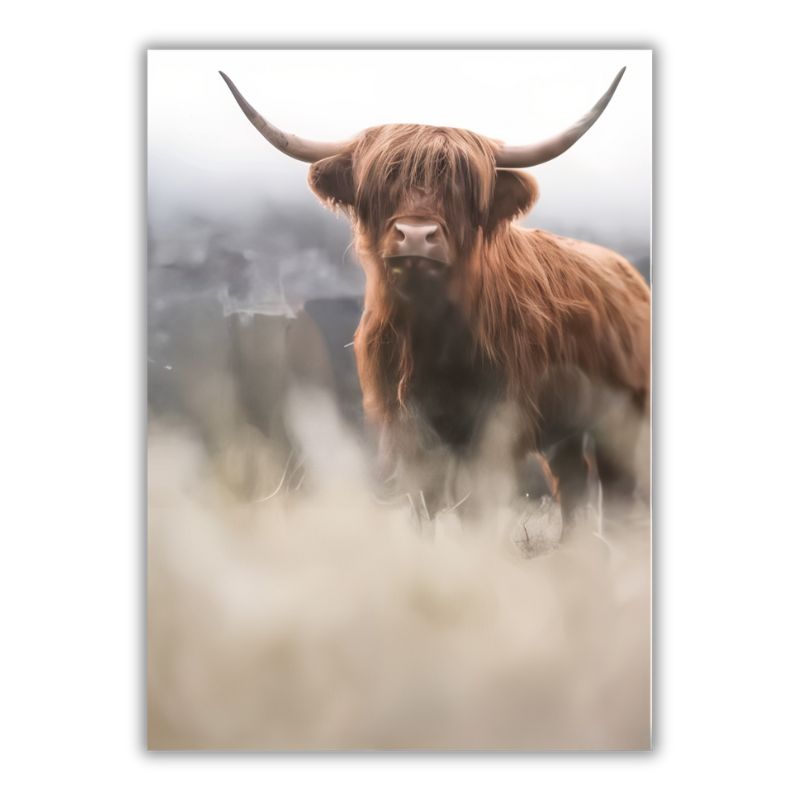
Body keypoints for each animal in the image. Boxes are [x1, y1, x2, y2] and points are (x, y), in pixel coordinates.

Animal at [220, 68, 650, 542]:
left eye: (461, 187)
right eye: (383, 185)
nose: (415, 234)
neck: (431, 335)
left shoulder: (495, 420)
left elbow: (477, 502)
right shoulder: (407, 423)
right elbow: (425, 499)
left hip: (624, 414)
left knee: (616, 487)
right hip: (565, 428)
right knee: (570, 481)